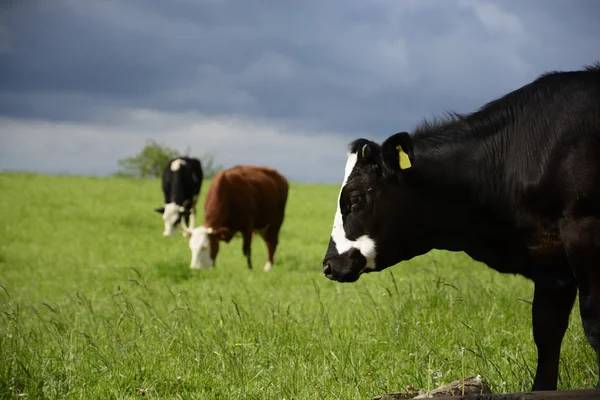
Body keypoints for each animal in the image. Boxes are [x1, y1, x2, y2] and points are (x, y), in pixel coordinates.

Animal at [324, 64, 600, 392]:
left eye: (354, 199)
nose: (329, 265)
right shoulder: (551, 264)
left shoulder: (584, 231)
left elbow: (594, 325)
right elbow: (546, 332)